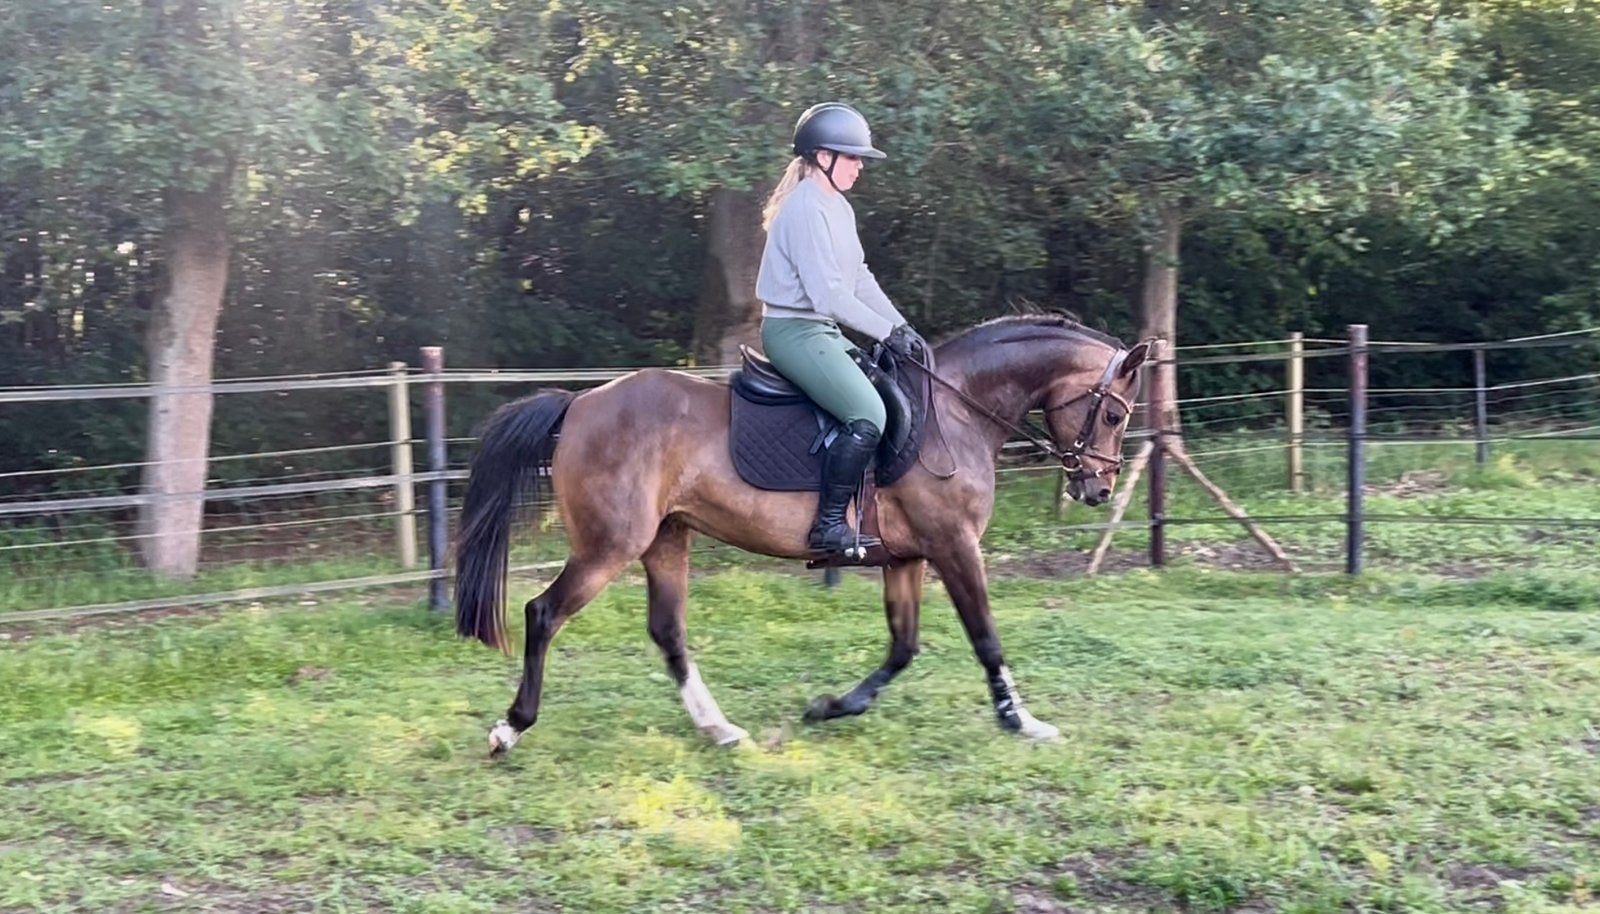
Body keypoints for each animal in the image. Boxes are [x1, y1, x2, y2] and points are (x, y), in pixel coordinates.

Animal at [453, 314, 1153, 754]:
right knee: (543, 613)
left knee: (668, 632)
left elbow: (903, 647)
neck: (954, 413)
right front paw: (1021, 721)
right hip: (609, 546)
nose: (1097, 490)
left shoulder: (907, 558)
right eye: (1114, 415)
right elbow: (985, 638)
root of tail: (581, 404)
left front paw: (830, 707)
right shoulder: (954, 546)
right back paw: (511, 728)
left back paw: (720, 729)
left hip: (665, 539)